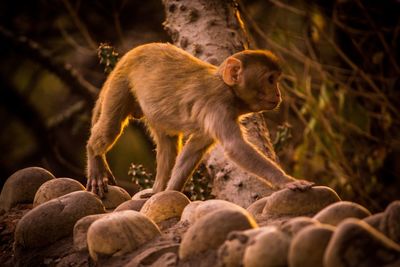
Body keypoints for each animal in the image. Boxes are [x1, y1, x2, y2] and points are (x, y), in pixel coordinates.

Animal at [86, 43, 314, 198]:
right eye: (270, 80)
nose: (278, 94)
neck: (228, 89)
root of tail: (128, 56)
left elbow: (194, 149)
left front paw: (171, 191)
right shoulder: (218, 107)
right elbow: (235, 147)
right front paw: (286, 181)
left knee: (167, 142)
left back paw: (158, 190)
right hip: (120, 84)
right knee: (111, 127)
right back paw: (94, 155)